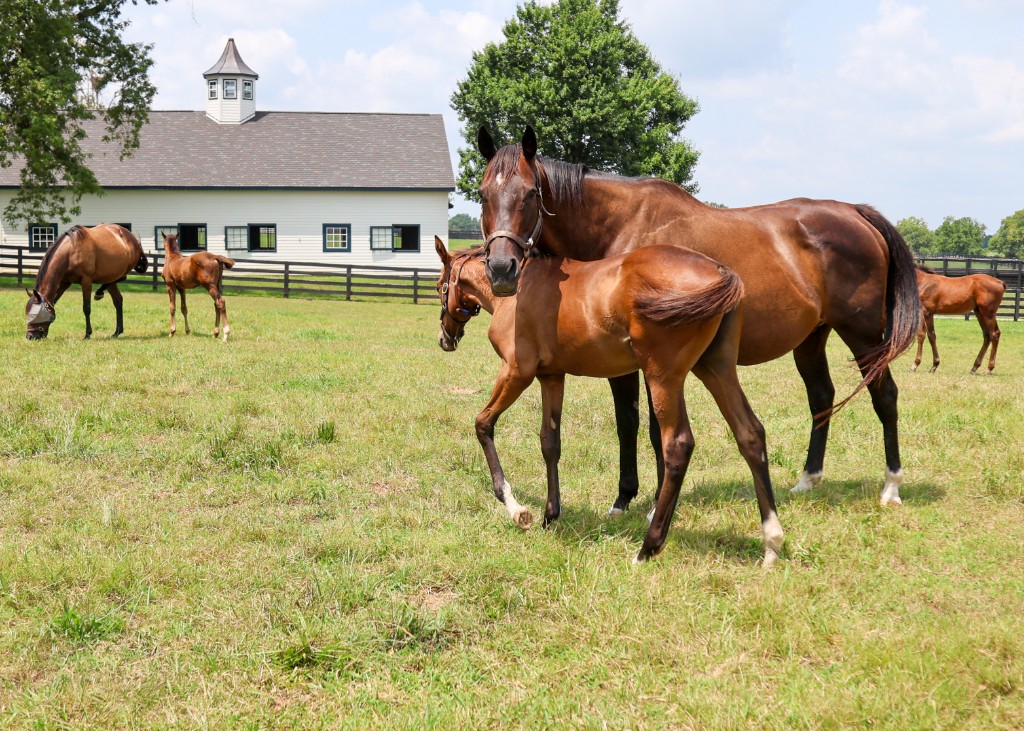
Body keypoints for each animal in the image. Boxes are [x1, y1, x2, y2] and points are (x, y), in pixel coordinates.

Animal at [433, 236, 784, 566]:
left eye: (439, 287)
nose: (445, 339)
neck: (516, 290)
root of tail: (720, 270)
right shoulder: (551, 377)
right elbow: (550, 442)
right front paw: (550, 515)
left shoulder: (517, 372)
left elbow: (483, 423)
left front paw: (517, 509)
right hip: (716, 368)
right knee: (750, 433)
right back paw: (772, 541)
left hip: (664, 378)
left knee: (678, 445)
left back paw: (648, 548)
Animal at [475, 126, 921, 509]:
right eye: (482, 194)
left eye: (531, 193)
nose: (501, 269)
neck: (622, 228)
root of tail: (856, 212)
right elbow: (627, 423)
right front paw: (625, 499)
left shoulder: (648, 361)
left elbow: (651, 429)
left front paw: (649, 503)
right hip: (812, 337)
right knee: (822, 397)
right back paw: (807, 480)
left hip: (863, 335)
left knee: (885, 396)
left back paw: (891, 486)